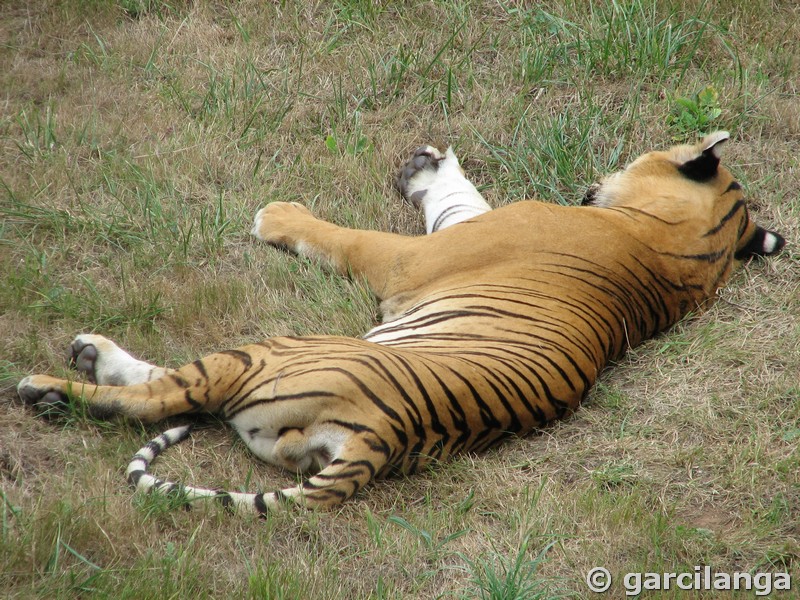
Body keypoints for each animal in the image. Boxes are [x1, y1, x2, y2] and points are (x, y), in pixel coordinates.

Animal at [15, 132, 784, 516]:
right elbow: (457, 197)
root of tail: (382, 438)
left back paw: (55, 380)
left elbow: (347, 237)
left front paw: (279, 215)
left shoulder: (411, 258)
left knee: (158, 395)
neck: (687, 251)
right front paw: (431, 165)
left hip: (273, 348)